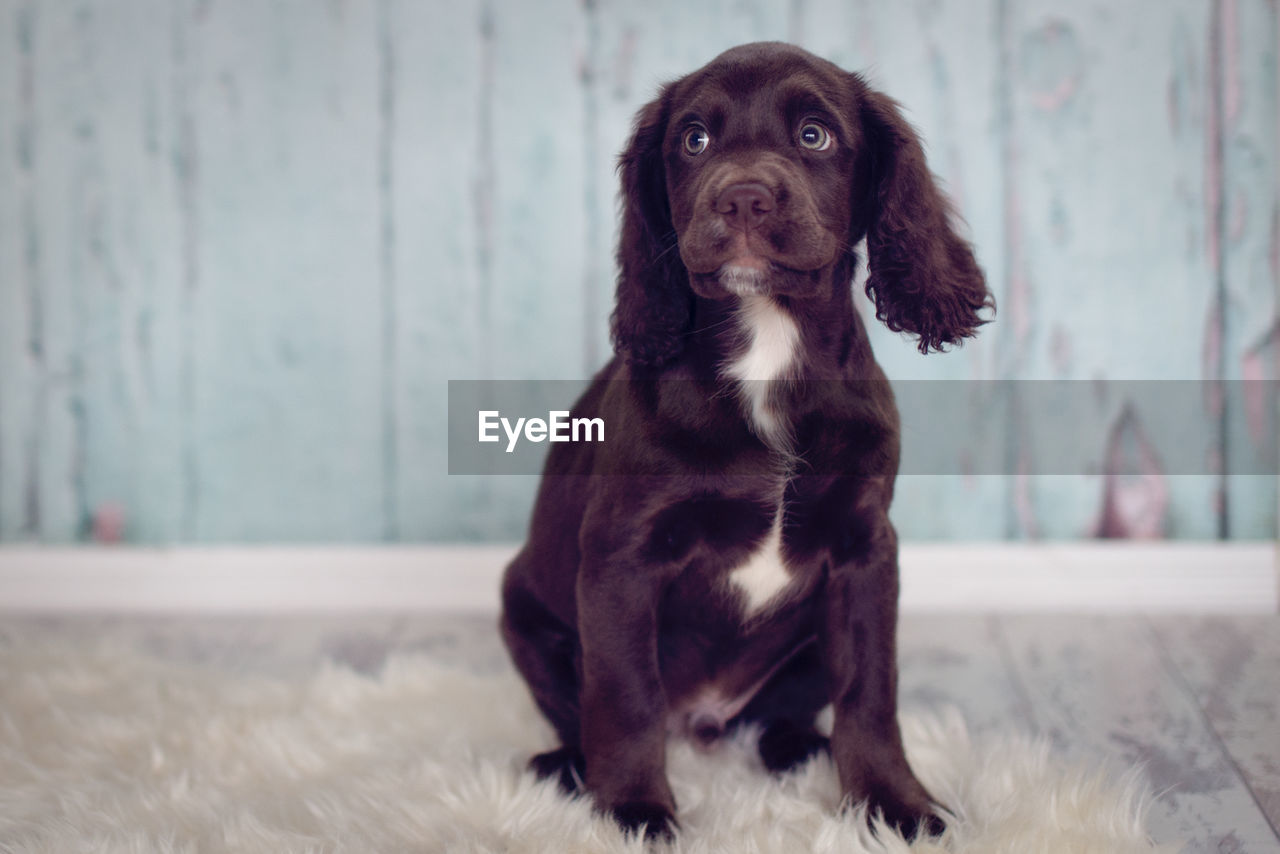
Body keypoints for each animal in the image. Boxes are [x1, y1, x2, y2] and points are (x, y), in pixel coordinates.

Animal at [496, 41, 988, 839]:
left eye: (814, 135)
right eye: (694, 140)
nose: (745, 199)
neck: (767, 344)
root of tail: (704, 721)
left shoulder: (866, 550)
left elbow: (871, 691)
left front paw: (893, 805)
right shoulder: (621, 557)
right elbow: (625, 697)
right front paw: (634, 809)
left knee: (781, 714)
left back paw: (800, 750)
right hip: (523, 611)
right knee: (583, 712)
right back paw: (566, 768)